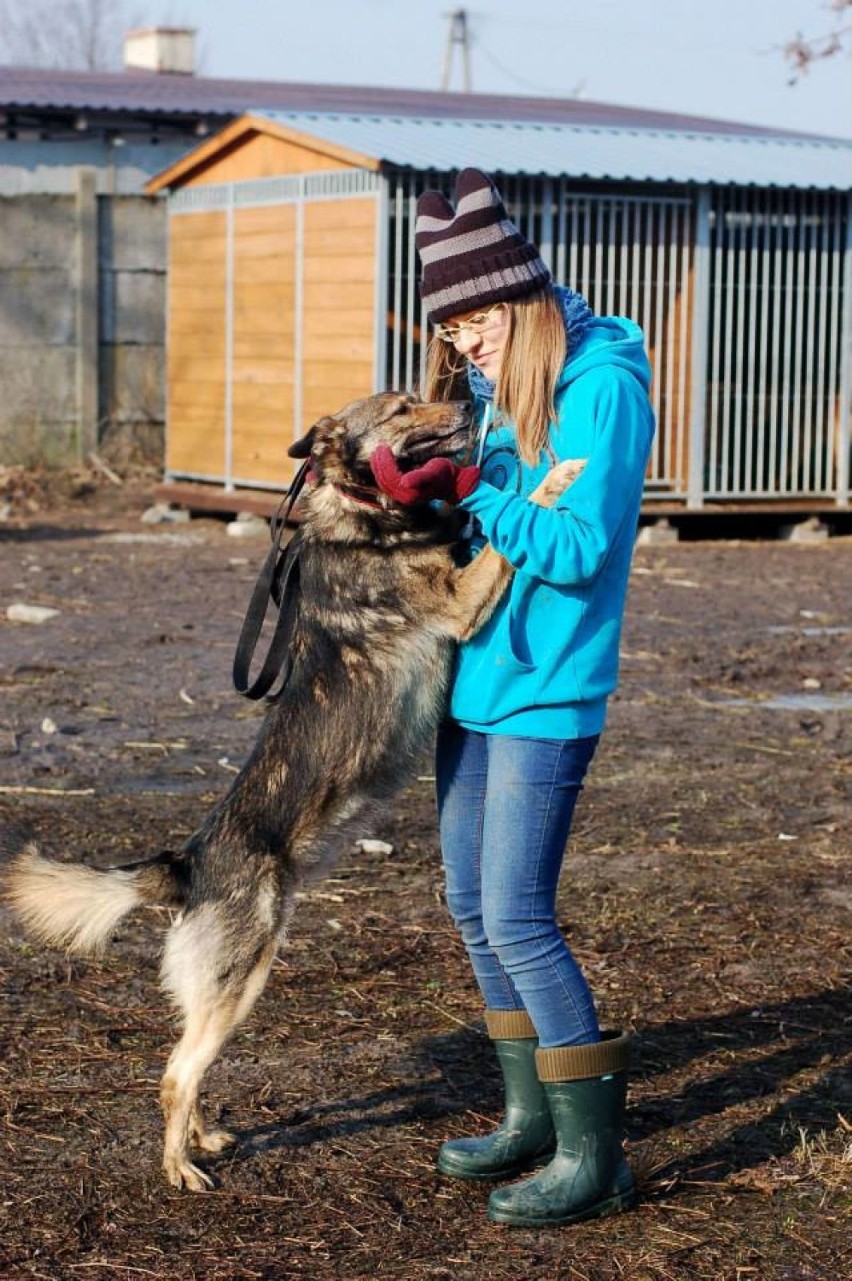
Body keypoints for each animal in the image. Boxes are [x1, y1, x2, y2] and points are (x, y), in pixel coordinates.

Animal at [3, 389, 581, 1188]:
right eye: (403, 407)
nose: (467, 398)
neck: (364, 512)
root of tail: (187, 863)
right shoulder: (462, 601)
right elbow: (504, 540)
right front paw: (557, 479)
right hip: (244, 974)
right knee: (175, 1073)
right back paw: (180, 1169)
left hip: (220, 985)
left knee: (186, 1061)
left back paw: (204, 1138)